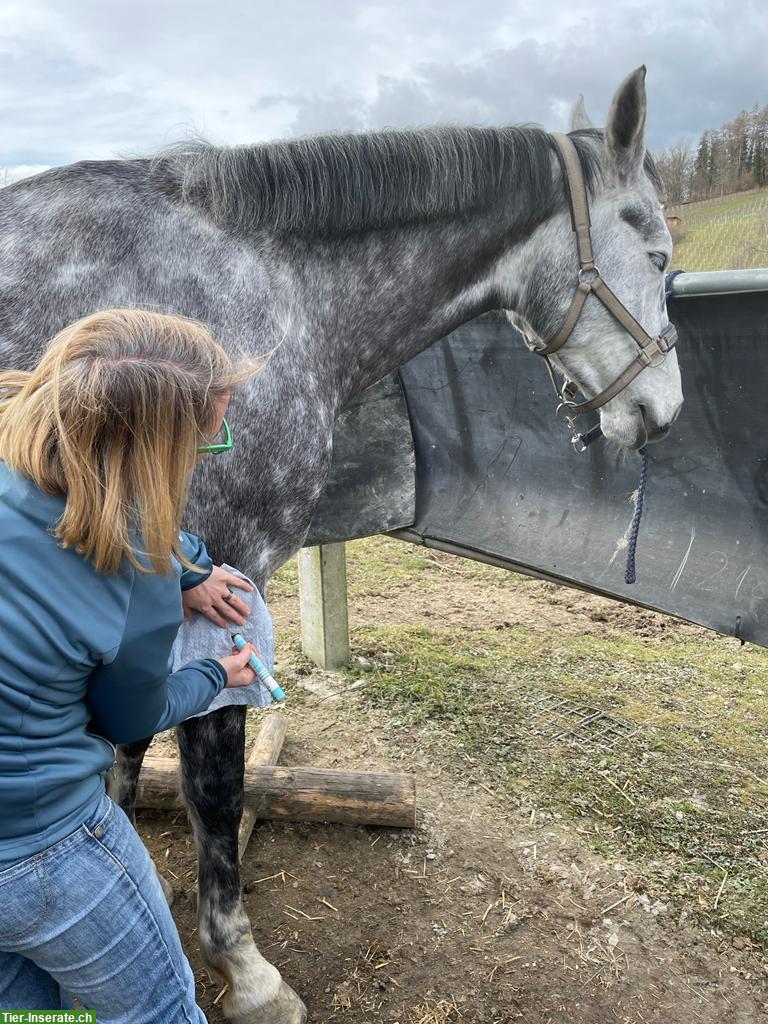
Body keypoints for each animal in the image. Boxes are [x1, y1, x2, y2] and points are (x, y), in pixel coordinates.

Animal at [1, 68, 684, 1019]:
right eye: (657, 256)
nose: (665, 407)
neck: (259, 292)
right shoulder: (225, 580)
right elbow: (213, 787)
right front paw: (245, 967)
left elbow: (130, 753)